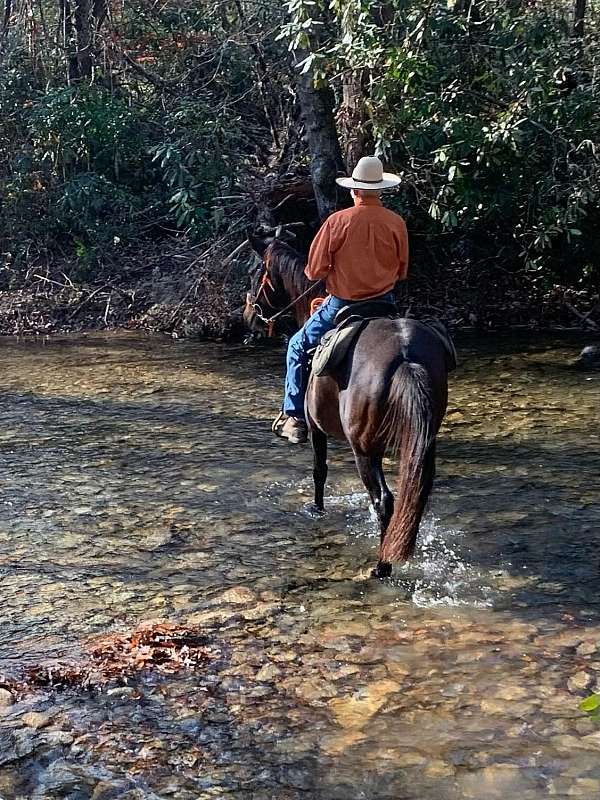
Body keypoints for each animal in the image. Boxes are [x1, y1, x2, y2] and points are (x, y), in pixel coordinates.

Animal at [244, 231, 450, 576]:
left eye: (256, 273)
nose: (249, 317)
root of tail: (405, 355)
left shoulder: (317, 428)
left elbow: (319, 470)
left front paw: (316, 509)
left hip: (364, 448)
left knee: (384, 500)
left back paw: (381, 566)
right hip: (423, 439)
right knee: (415, 494)